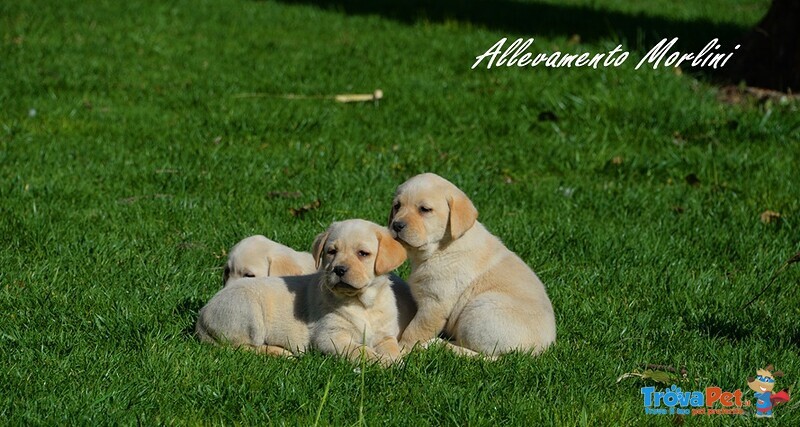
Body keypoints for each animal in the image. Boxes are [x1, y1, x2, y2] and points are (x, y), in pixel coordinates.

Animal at [197, 221, 412, 368]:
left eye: (363, 253)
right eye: (331, 252)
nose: (339, 270)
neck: (363, 303)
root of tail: (202, 314)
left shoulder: (385, 335)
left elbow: (392, 348)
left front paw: (395, 360)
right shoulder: (331, 336)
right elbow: (360, 351)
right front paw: (383, 362)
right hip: (248, 312)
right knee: (241, 347)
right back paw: (279, 352)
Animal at [390, 172, 556, 356]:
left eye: (424, 209)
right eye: (397, 206)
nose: (396, 225)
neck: (441, 248)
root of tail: (540, 349)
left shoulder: (435, 303)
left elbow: (415, 330)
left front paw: (403, 349)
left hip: (480, 310)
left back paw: (438, 344)